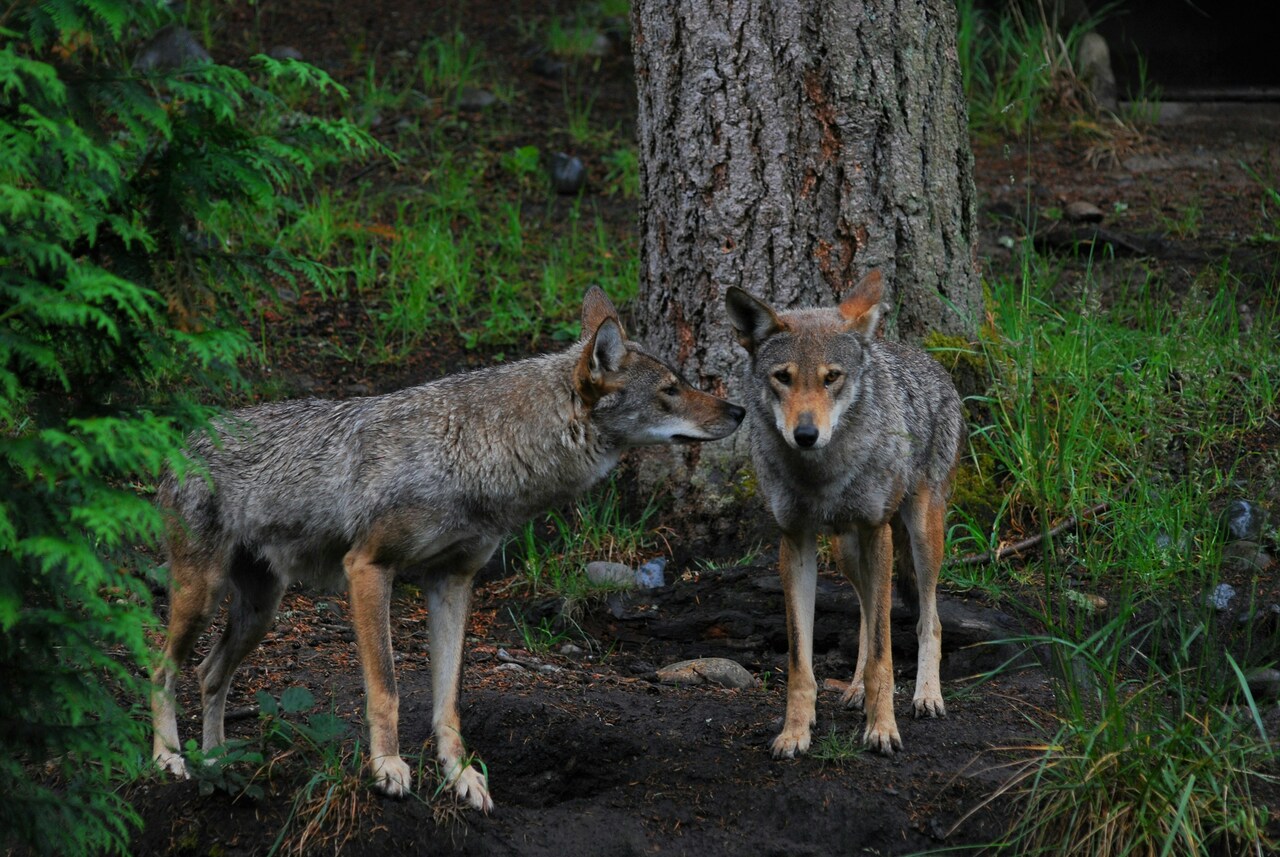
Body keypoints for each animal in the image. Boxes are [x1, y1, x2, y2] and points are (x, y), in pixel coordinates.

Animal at [151, 287, 745, 812]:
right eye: (671, 390)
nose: (739, 410)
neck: (474, 452)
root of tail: (185, 439)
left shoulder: (454, 584)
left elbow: (449, 703)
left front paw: (461, 777)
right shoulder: (368, 569)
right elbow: (386, 689)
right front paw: (387, 769)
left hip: (260, 612)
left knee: (208, 675)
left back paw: (218, 763)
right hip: (204, 598)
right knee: (161, 669)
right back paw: (170, 760)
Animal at [724, 271, 962, 757]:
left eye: (831, 377)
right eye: (783, 378)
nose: (806, 434)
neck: (822, 474)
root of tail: (923, 357)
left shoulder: (876, 530)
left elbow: (884, 656)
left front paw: (883, 729)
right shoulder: (795, 541)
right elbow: (802, 662)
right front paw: (795, 733)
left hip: (920, 535)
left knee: (929, 619)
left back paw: (927, 695)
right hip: (846, 550)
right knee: (868, 615)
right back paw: (853, 690)